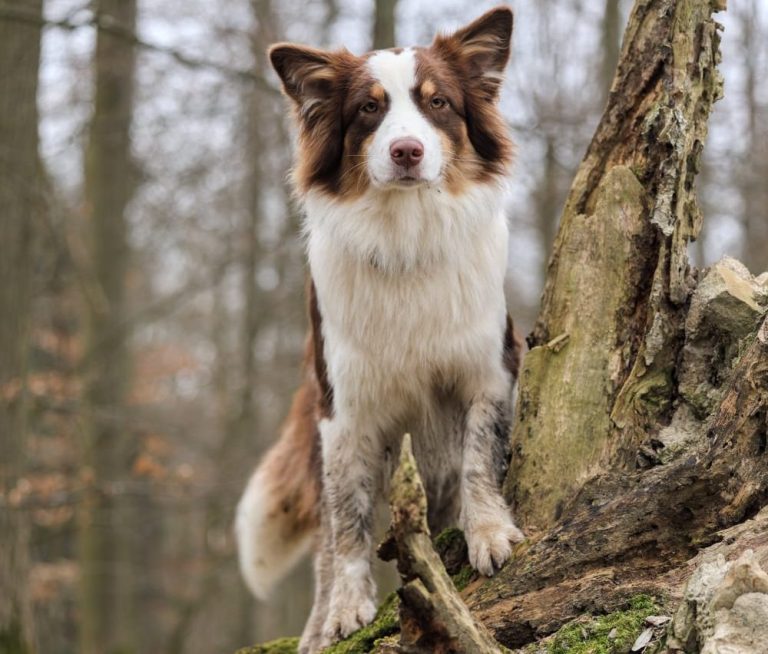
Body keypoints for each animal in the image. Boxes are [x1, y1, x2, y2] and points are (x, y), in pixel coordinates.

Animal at [234, 6, 520, 654]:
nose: (407, 150)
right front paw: (346, 609)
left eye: (437, 103)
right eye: (369, 108)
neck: (406, 236)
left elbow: (479, 456)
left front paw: (489, 533)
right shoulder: (346, 411)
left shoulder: (488, 369)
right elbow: (349, 519)